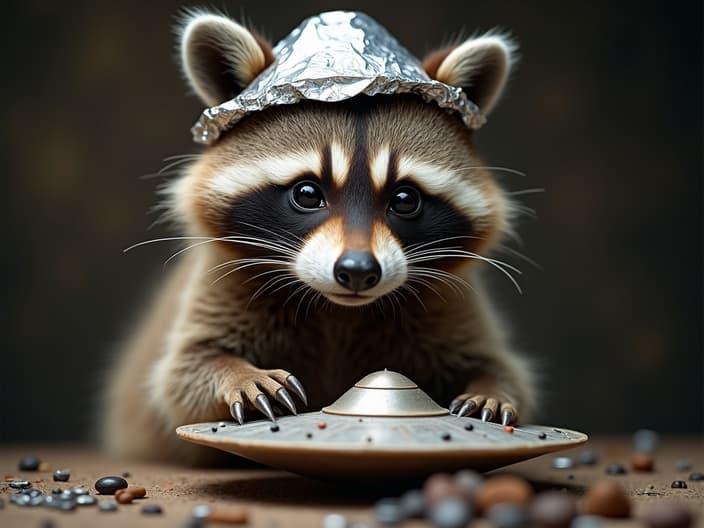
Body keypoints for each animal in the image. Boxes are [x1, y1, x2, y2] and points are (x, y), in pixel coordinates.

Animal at [103, 8, 532, 462]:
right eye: (307, 193)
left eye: (405, 199)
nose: (358, 271)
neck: (338, 311)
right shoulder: (219, 282)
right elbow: (181, 374)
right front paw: (237, 374)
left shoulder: (450, 301)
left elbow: (500, 366)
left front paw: (492, 388)